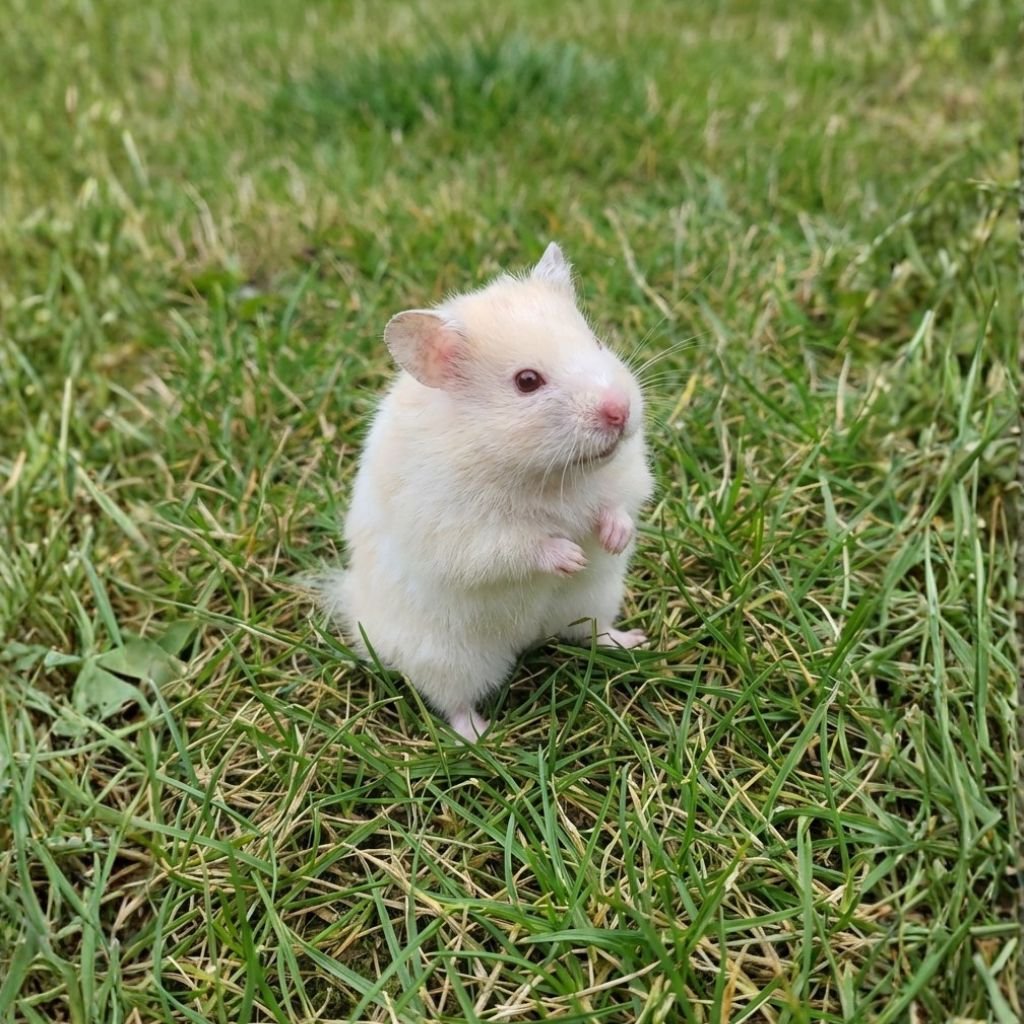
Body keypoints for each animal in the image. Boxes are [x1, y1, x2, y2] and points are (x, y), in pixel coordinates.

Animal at [320, 243, 653, 740]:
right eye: (527, 381)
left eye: (596, 343)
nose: (620, 410)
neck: (552, 473)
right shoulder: (461, 533)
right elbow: (515, 546)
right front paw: (570, 557)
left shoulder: (628, 474)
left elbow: (621, 504)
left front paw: (613, 539)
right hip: (448, 657)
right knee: (451, 701)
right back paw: (482, 737)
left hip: (596, 598)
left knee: (589, 631)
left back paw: (635, 641)